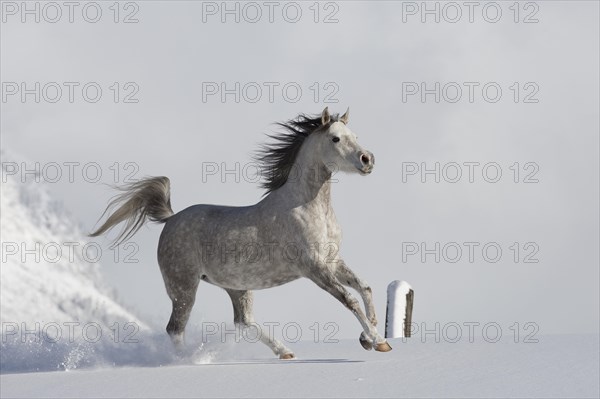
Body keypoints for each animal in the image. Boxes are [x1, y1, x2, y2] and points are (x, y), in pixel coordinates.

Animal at [88, 107, 390, 360]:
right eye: (336, 139)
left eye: (355, 136)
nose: (367, 159)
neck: (306, 206)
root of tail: (171, 218)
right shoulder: (314, 268)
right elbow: (350, 299)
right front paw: (377, 341)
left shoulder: (332, 261)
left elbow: (365, 287)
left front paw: (369, 337)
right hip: (184, 287)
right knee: (175, 328)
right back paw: (184, 361)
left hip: (237, 286)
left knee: (243, 321)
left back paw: (285, 352)